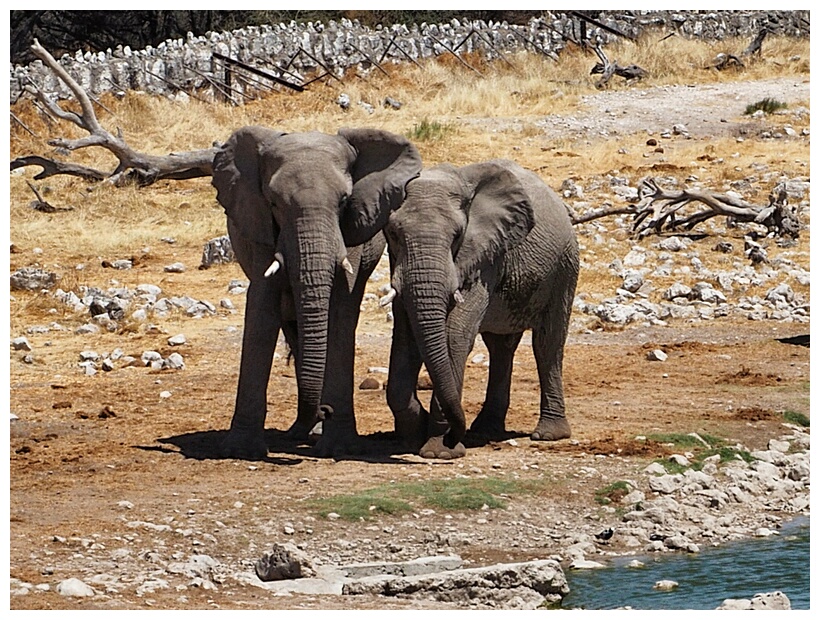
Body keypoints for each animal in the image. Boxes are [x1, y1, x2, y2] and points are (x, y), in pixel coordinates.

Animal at [211, 126, 422, 458]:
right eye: (274, 203)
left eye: (344, 201)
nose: (326, 410)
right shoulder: (258, 226)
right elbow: (261, 307)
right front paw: (240, 451)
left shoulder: (350, 230)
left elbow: (341, 308)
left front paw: (339, 447)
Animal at [382, 159, 580, 460]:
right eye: (393, 234)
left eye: (457, 236)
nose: (455, 436)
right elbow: (406, 337)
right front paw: (415, 434)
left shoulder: (484, 258)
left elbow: (454, 336)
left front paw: (440, 451)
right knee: (501, 347)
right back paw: (484, 431)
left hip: (565, 268)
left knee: (547, 344)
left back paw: (548, 434)